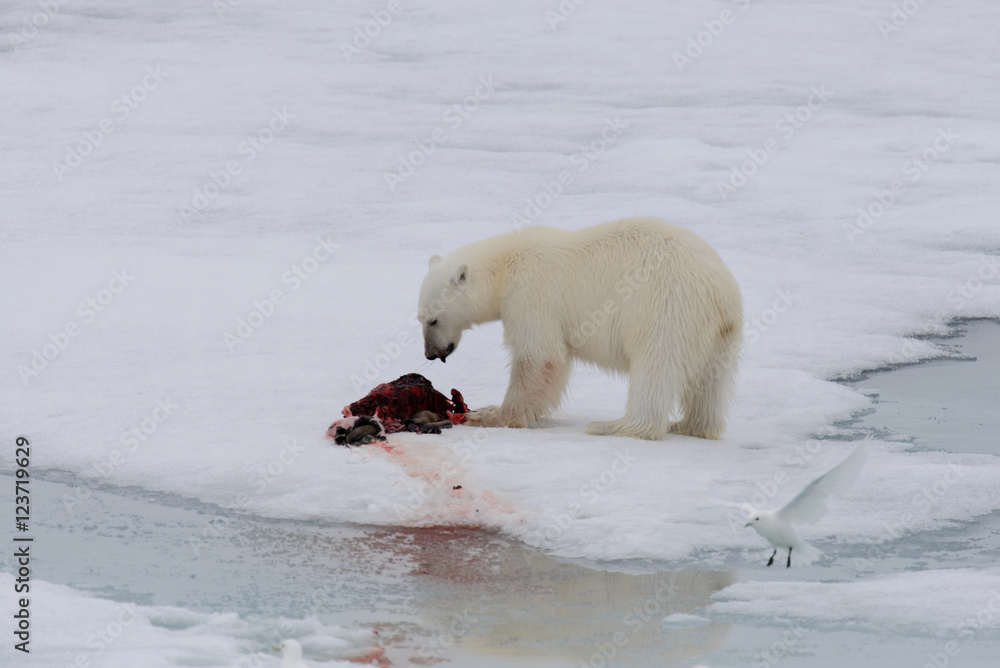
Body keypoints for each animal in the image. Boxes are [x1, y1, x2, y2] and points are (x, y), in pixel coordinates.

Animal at [416, 217, 743, 440]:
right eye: (419, 319)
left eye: (434, 320)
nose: (431, 354)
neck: (506, 263)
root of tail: (721, 294)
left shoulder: (530, 292)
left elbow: (540, 356)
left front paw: (490, 414)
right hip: (719, 335)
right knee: (709, 382)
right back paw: (689, 425)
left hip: (665, 307)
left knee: (655, 364)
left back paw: (614, 426)